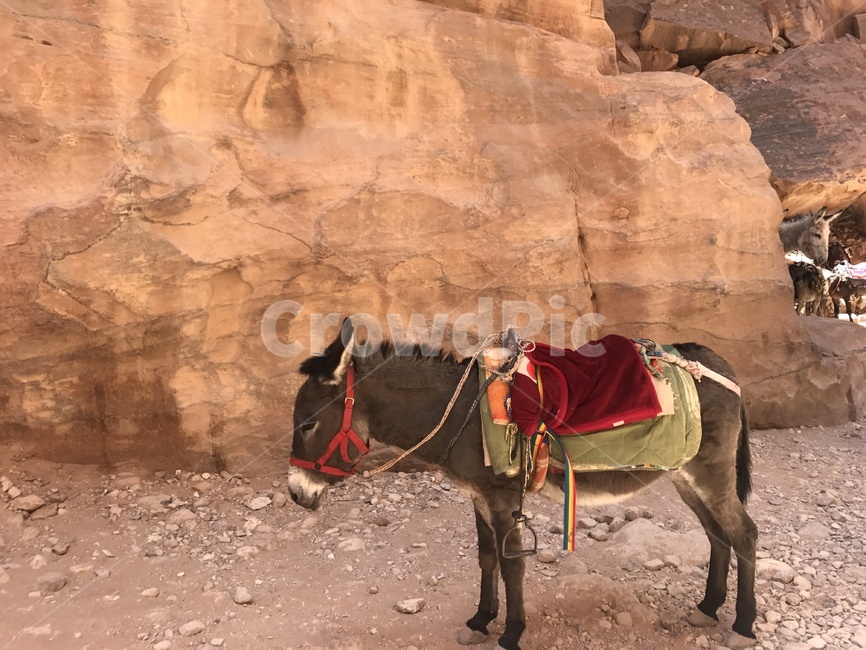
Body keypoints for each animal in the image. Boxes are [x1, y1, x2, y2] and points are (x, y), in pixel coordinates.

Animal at [287, 320, 758, 650]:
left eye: (308, 425)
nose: (295, 493)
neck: (462, 414)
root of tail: (719, 367)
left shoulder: (500, 497)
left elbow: (511, 562)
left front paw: (512, 631)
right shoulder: (478, 496)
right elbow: (486, 557)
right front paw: (480, 620)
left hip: (710, 472)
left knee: (744, 534)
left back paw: (742, 625)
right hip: (685, 475)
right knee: (717, 534)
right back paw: (708, 608)